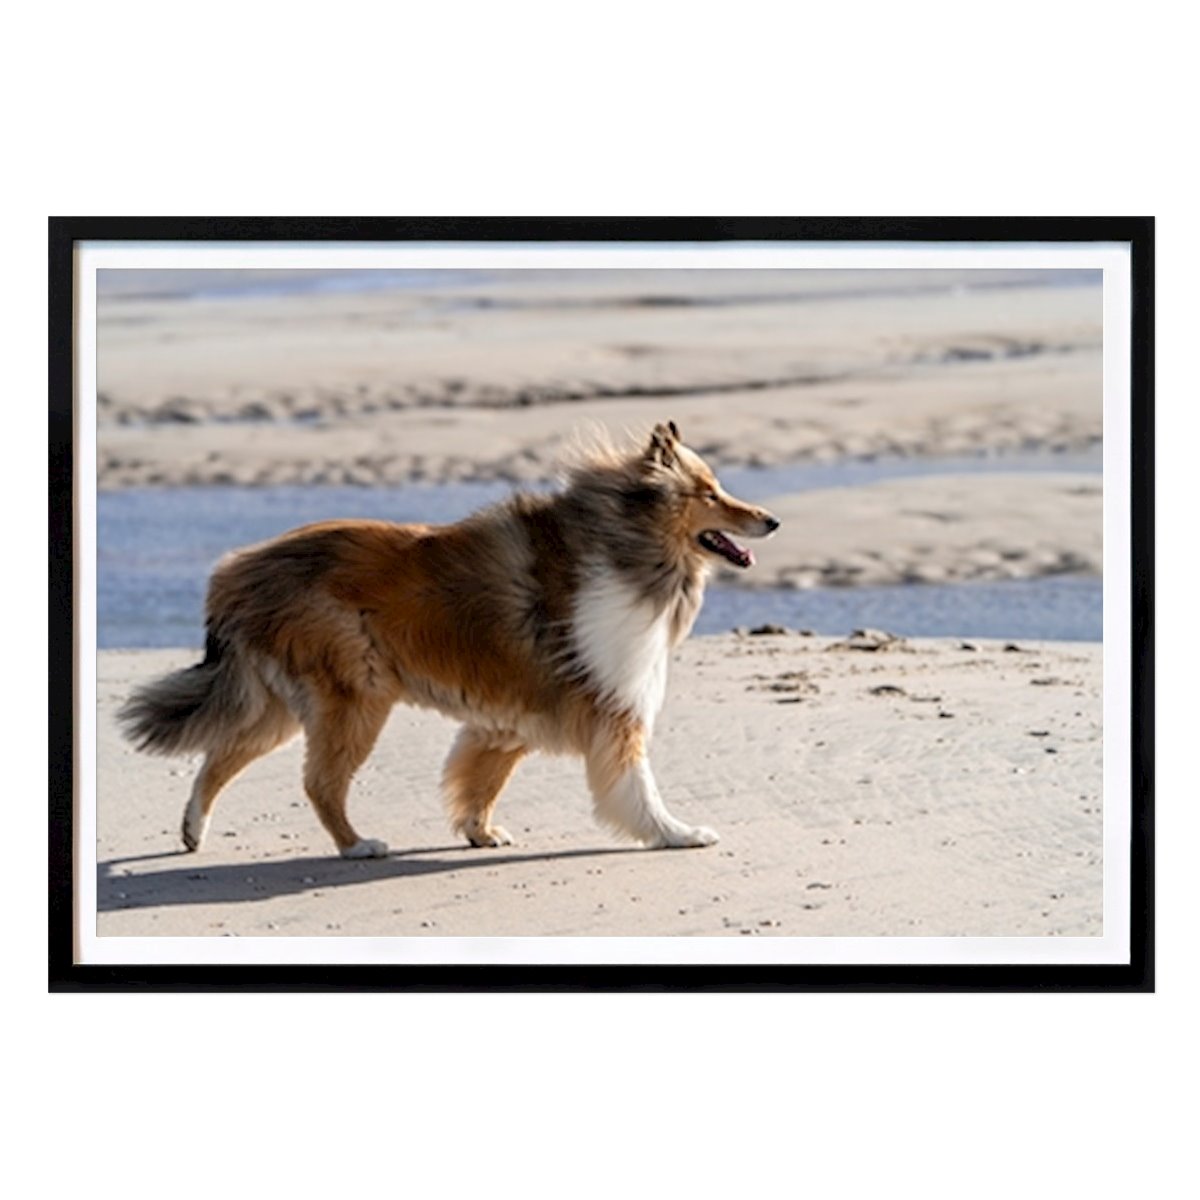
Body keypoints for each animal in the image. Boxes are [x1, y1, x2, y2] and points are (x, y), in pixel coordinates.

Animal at [119, 427, 777, 859]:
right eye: (710, 493)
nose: (771, 520)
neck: (627, 541)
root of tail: (234, 572)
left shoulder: (510, 714)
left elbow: (481, 775)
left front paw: (479, 831)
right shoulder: (614, 704)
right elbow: (637, 785)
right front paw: (677, 833)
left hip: (278, 704)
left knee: (219, 756)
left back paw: (193, 832)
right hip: (355, 698)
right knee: (318, 783)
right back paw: (357, 846)